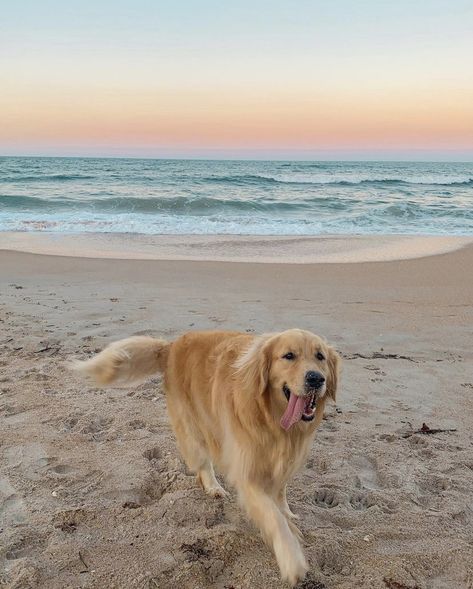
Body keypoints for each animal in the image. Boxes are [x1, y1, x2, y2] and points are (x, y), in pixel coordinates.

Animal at [72, 328, 340, 584]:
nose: (316, 378)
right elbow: (273, 517)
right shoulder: (247, 473)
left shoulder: (285, 460)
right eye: (288, 356)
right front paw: (291, 560)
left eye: (320, 356)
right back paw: (213, 486)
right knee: (202, 462)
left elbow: (280, 495)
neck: (273, 421)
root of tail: (171, 346)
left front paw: (289, 515)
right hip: (194, 425)